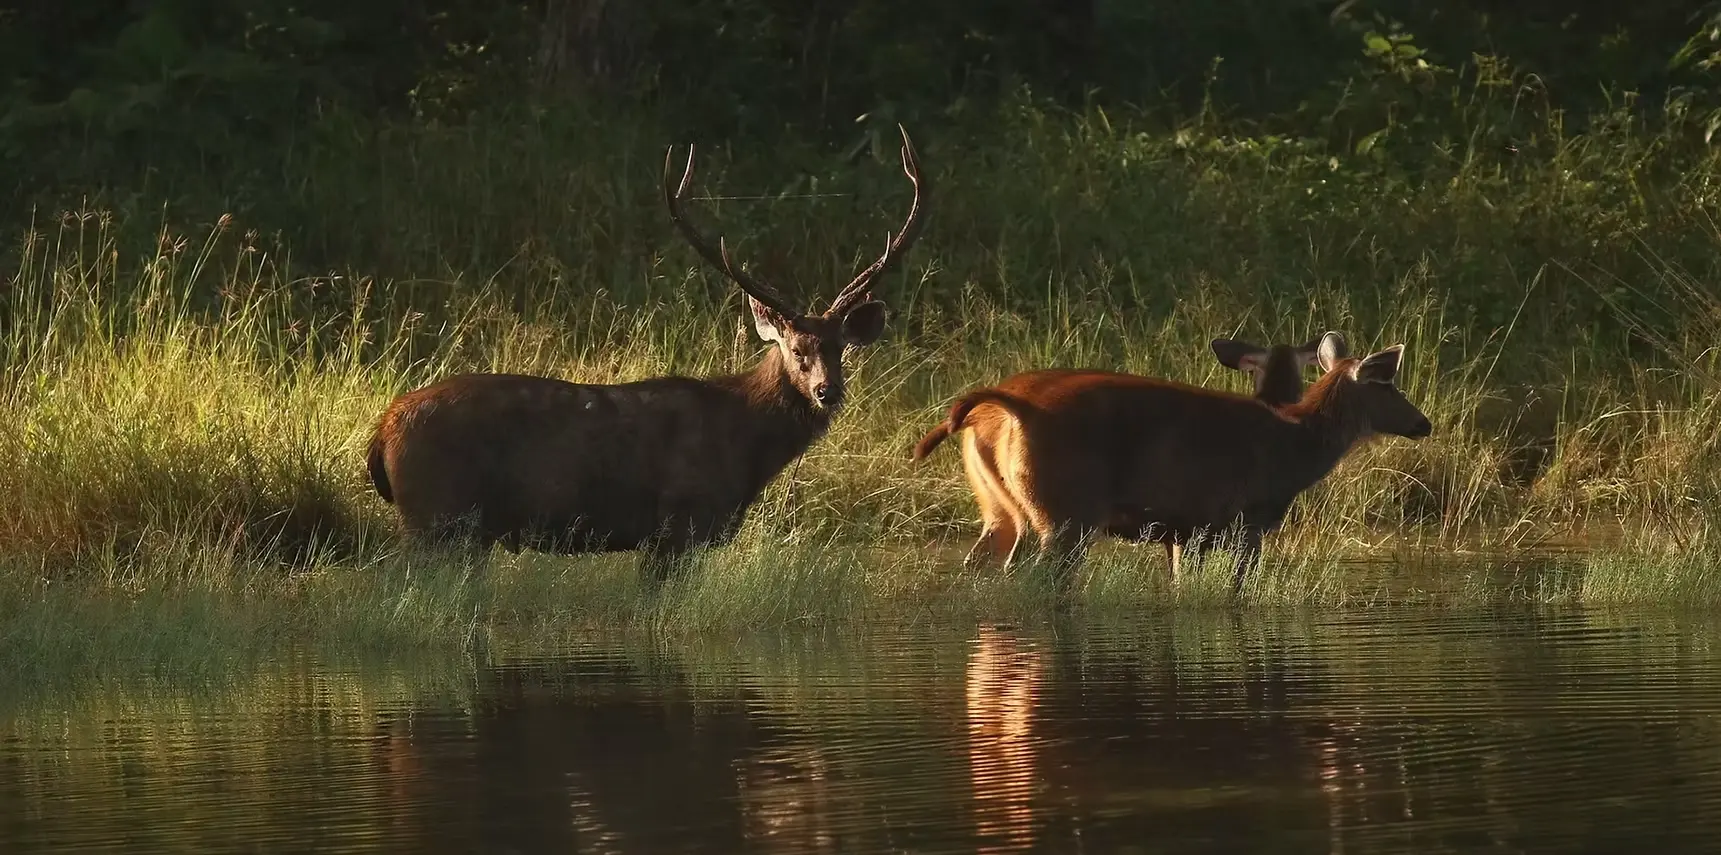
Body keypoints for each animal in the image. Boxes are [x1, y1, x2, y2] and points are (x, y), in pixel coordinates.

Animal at [366, 125, 928, 581]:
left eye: (840, 347)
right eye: (795, 348)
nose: (827, 391)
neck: (745, 444)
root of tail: (382, 431)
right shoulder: (680, 524)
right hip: (437, 516)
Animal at [911, 333, 1429, 593]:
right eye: (1388, 384)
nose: (1423, 423)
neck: (1296, 446)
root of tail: (1010, 408)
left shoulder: (1183, 530)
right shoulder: (1247, 521)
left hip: (1001, 509)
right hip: (1065, 512)